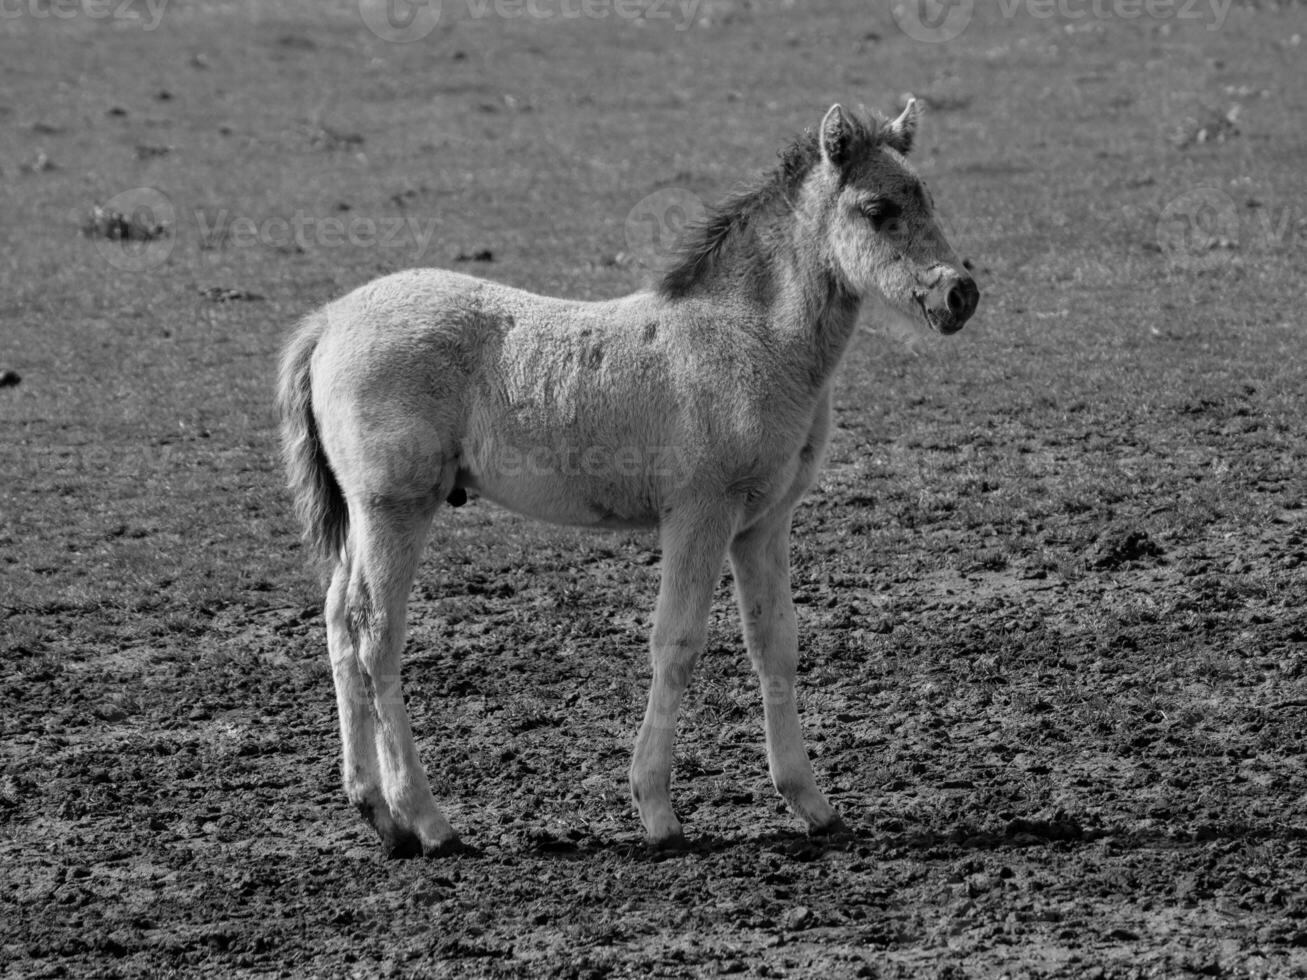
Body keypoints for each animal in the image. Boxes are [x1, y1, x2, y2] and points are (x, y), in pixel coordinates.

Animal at [281, 96, 977, 857]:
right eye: (878, 208)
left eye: (927, 196)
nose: (959, 294)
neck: (751, 338)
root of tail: (328, 320)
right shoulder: (700, 513)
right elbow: (676, 644)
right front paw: (657, 811)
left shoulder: (763, 523)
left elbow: (775, 645)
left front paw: (810, 803)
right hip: (396, 507)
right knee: (376, 635)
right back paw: (428, 820)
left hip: (366, 514)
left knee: (338, 621)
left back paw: (376, 810)